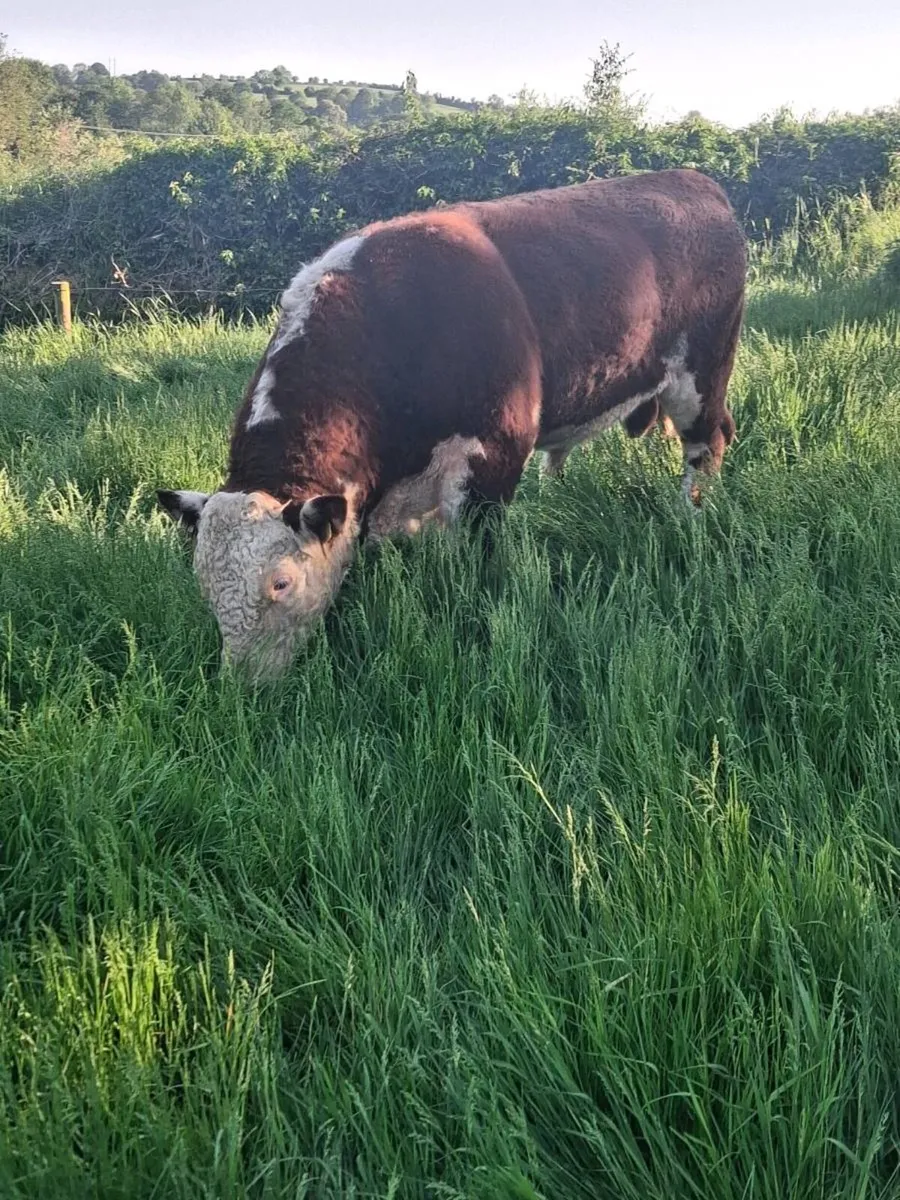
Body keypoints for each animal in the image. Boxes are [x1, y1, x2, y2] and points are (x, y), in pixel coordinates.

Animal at [158, 168, 746, 681]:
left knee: (708, 441)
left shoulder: (495, 453)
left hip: (702, 373)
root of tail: (693, 180)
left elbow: (476, 554)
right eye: (203, 582)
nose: (243, 685)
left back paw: (693, 514)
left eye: (280, 583)